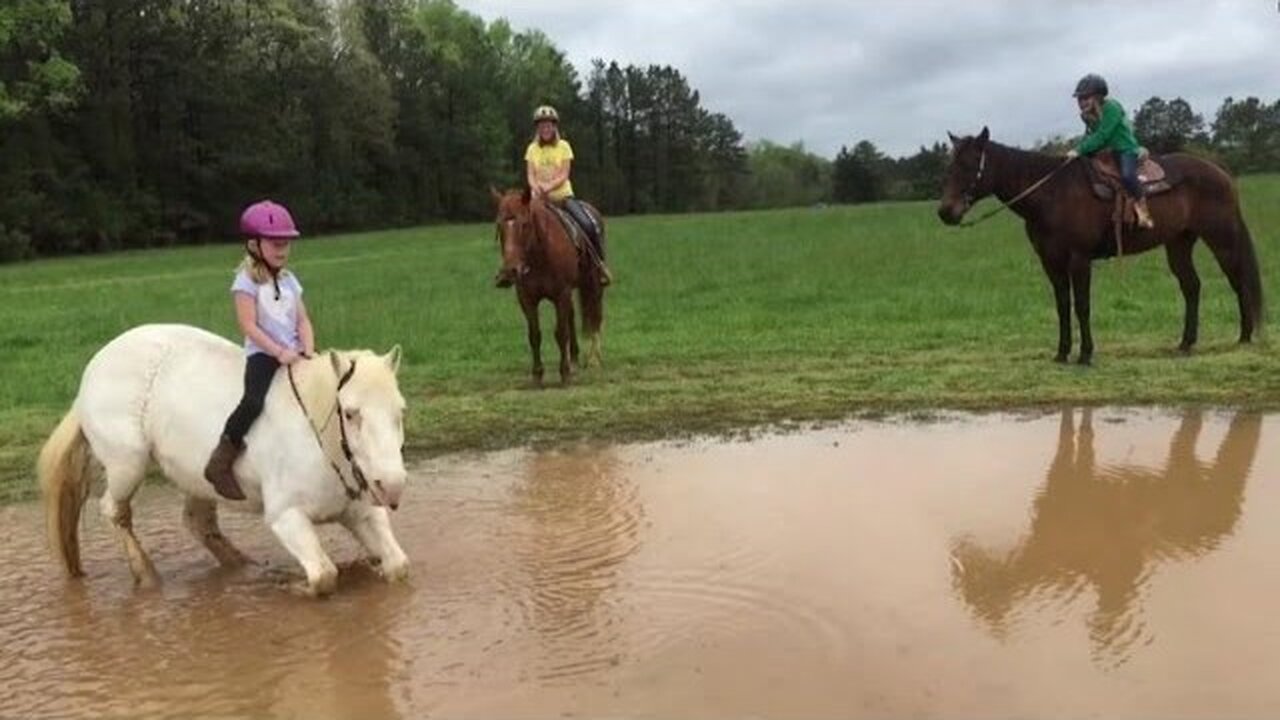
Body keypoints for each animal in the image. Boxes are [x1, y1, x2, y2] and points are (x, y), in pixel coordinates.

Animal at [38, 325, 409, 594]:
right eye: (350, 413)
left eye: (400, 411)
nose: (392, 488)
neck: (320, 439)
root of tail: (94, 369)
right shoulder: (286, 516)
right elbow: (323, 577)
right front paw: (295, 586)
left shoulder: (361, 512)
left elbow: (398, 565)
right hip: (127, 464)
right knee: (115, 510)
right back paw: (146, 575)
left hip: (196, 476)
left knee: (197, 522)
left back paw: (242, 566)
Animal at [491, 188, 606, 384]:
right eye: (500, 226)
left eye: (525, 224)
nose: (510, 271)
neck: (540, 255)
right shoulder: (527, 298)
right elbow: (535, 335)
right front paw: (537, 374)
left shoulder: (561, 293)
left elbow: (560, 332)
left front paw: (564, 373)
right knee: (571, 317)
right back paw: (574, 360)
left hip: (593, 283)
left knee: (594, 314)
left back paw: (593, 359)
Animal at [936, 126, 1264, 361]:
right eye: (949, 167)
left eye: (970, 165)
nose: (945, 212)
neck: (1052, 194)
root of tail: (1221, 173)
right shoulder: (1051, 262)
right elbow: (1062, 305)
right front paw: (1062, 353)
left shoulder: (1079, 259)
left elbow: (1082, 305)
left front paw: (1085, 354)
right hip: (1179, 243)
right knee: (1192, 286)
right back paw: (1185, 343)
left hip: (1221, 239)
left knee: (1238, 280)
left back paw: (1245, 336)